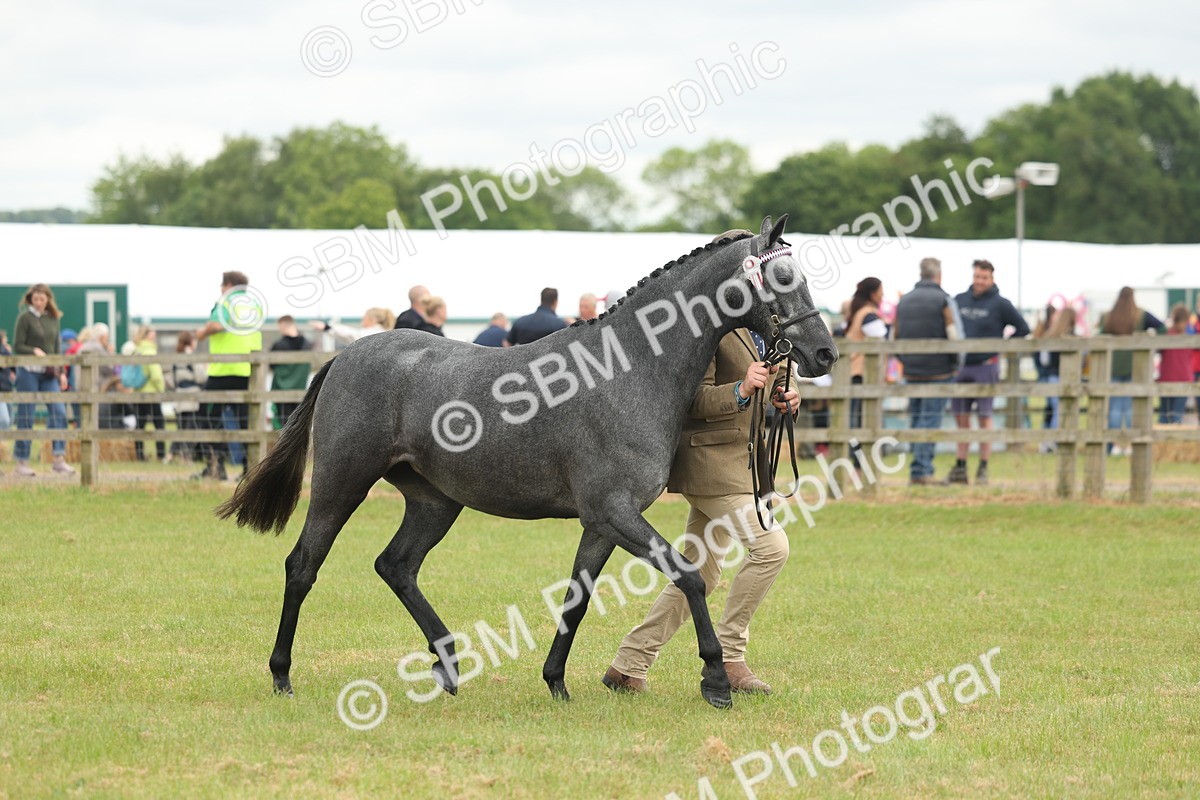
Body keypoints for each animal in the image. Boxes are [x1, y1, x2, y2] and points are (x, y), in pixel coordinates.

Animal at [217, 215, 838, 709]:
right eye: (783, 279)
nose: (824, 353)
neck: (629, 369)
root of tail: (346, 355)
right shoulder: (614, 512)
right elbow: (688, 577)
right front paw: (715, 681)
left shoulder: (603, 523)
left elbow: (577, 598)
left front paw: (556, 681)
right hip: (341, 484)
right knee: (303, 566)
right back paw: (282, 677)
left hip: (433, 501)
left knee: (396, 566)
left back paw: (448, 665)